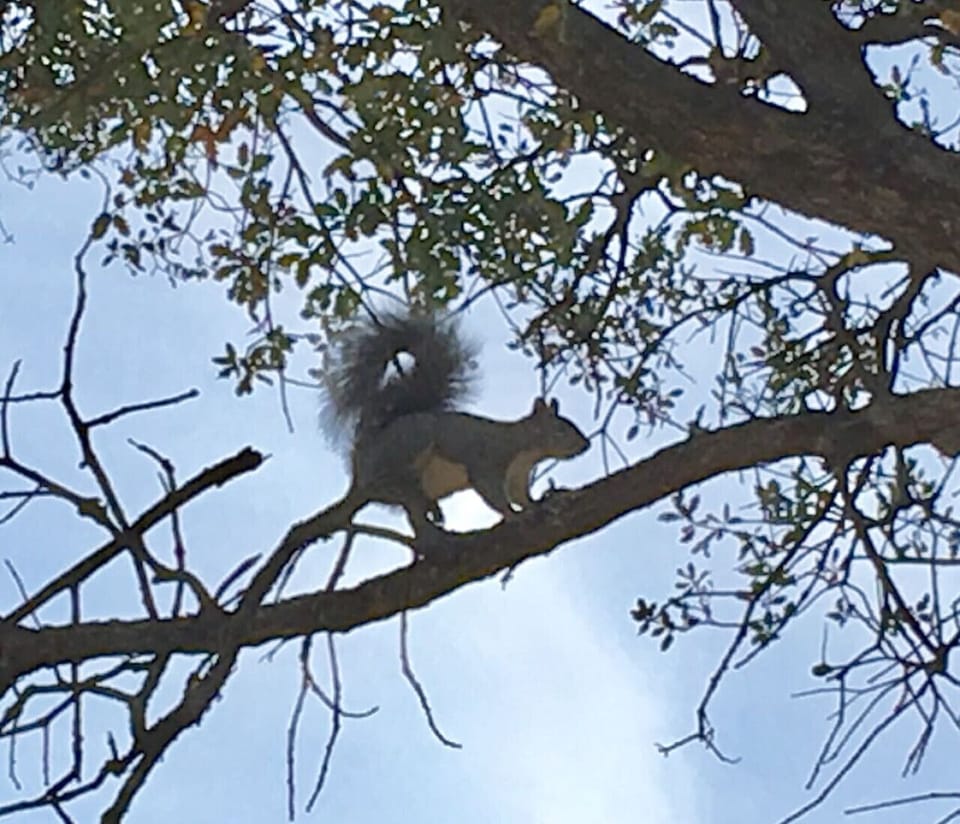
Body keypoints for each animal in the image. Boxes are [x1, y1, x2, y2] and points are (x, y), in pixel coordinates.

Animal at [321, 311, 590, 532]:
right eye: (561, 429)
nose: (585, 445)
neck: (523, 449)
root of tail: (360, 463)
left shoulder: (517, 477)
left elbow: (520, 497)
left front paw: (535, 507)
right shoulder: (488, 461)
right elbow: (494, 495)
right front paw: (514, 516)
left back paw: (430, 505)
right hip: (411, 442)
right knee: (390, 482)